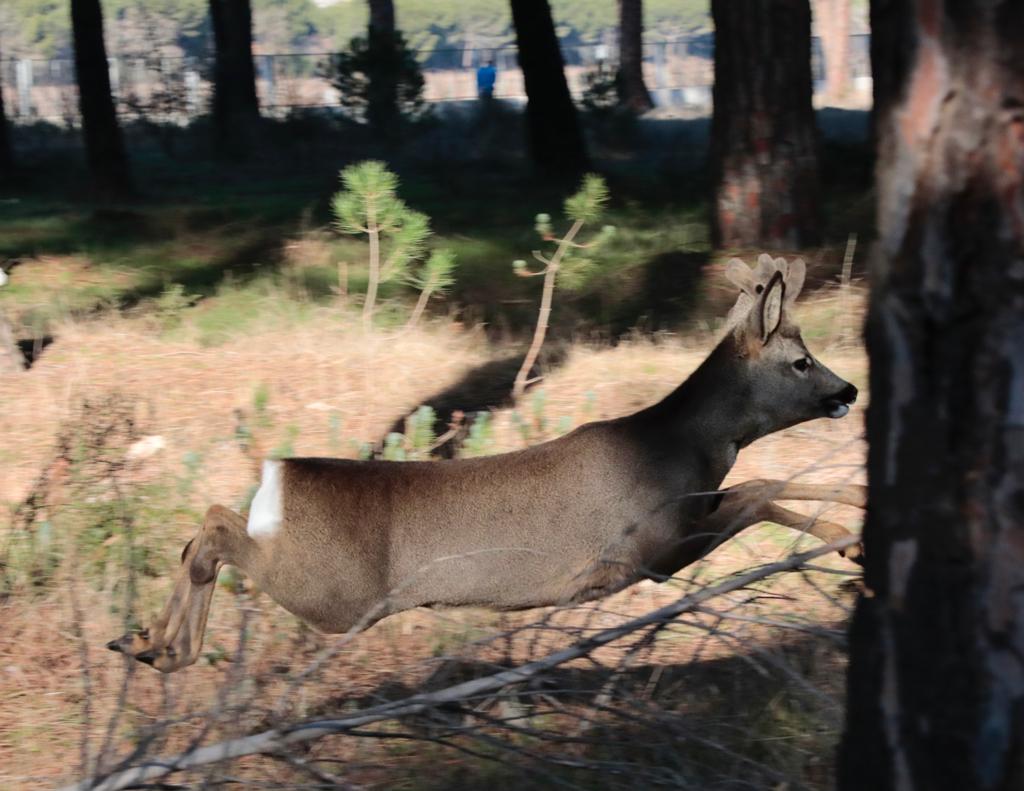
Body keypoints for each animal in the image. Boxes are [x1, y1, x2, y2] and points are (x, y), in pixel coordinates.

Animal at [112, 255, 864, 672]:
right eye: (801, 360)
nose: (850, 390)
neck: (682, 449)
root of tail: (279, 477)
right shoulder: (645, 548)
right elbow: (762, 485)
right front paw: (847, 532)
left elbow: (761, 484)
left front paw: (853, 525)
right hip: (333, 592)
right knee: (213, 532)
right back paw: (163, 647)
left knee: (206, 523)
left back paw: (143, 640)